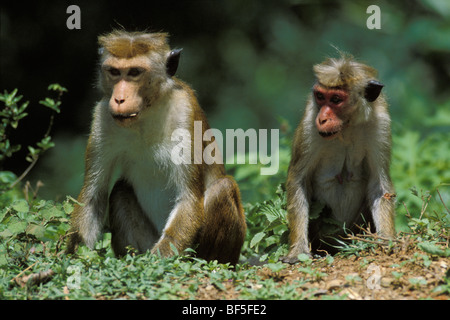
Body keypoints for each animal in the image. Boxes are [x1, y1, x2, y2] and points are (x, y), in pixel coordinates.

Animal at [67, 30, 246, 264]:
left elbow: (188, 199)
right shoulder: (102, 117)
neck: (146, 112)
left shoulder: (185, 111)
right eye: (114, 72)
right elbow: (93, 196)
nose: (119, 98)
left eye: (135, 72)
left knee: (223, 188)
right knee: (121, 191)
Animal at [284, 53, 396, 262]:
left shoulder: (381, 124)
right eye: (320, 96)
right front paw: (298, 250)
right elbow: (298, 180)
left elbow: (379, 185)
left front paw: (386, 239)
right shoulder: (310, 123)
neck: (346, 128)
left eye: (336, 99)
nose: (322, 118)